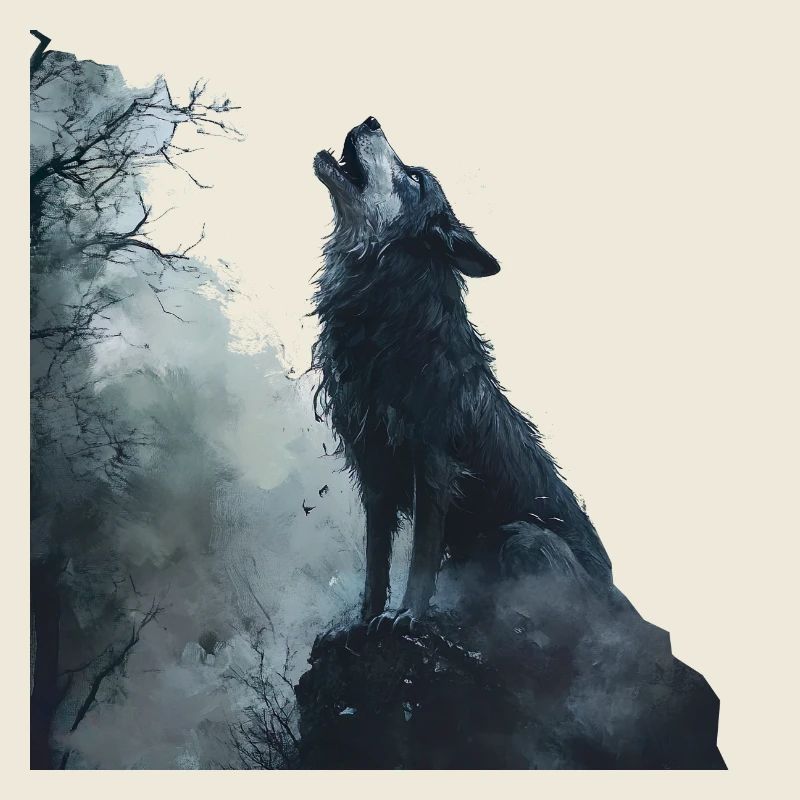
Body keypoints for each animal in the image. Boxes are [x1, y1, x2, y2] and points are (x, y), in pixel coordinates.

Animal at [312, 117, 613, 633]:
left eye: (415, 178)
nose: (371, 119)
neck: (388, 326)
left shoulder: (434, 462)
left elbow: (421, 555)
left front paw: (406, 616)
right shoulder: (373, 468)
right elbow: (376, 561)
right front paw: (364, 619)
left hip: (524, 537)